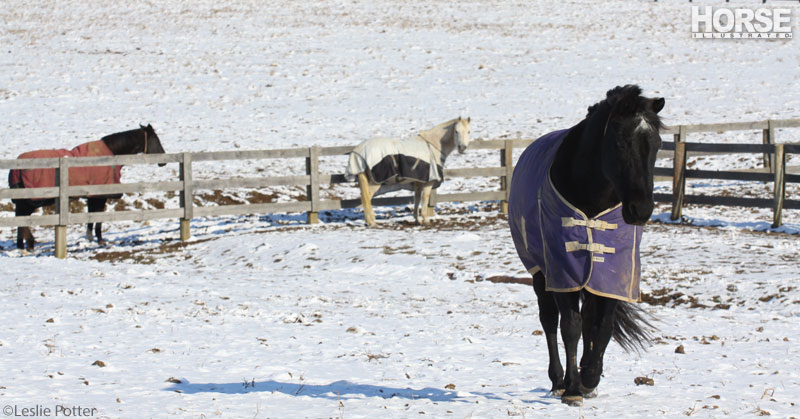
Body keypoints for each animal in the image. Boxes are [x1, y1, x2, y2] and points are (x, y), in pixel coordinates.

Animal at [8, 123, 165, 251]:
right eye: (155, 139)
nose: (163, 161)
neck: (111, 154)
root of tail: (16, 169)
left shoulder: (92, 196)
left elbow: (91, 216)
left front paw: (90, 237)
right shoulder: (100, 196)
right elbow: (97, 218)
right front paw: (100, 240)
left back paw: (23, 245)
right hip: (30, 201)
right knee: (22, 219)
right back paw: (28, 244)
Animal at [510, 86, 664, 406]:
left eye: (657, 144)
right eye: (620, 141)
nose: (641, 209)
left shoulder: (613, 274)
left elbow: (601, 325)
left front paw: (590, 378)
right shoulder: (562, 270)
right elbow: (570, 326)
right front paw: (572, 388)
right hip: (540, 272)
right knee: (549, 320)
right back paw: (559, 380)